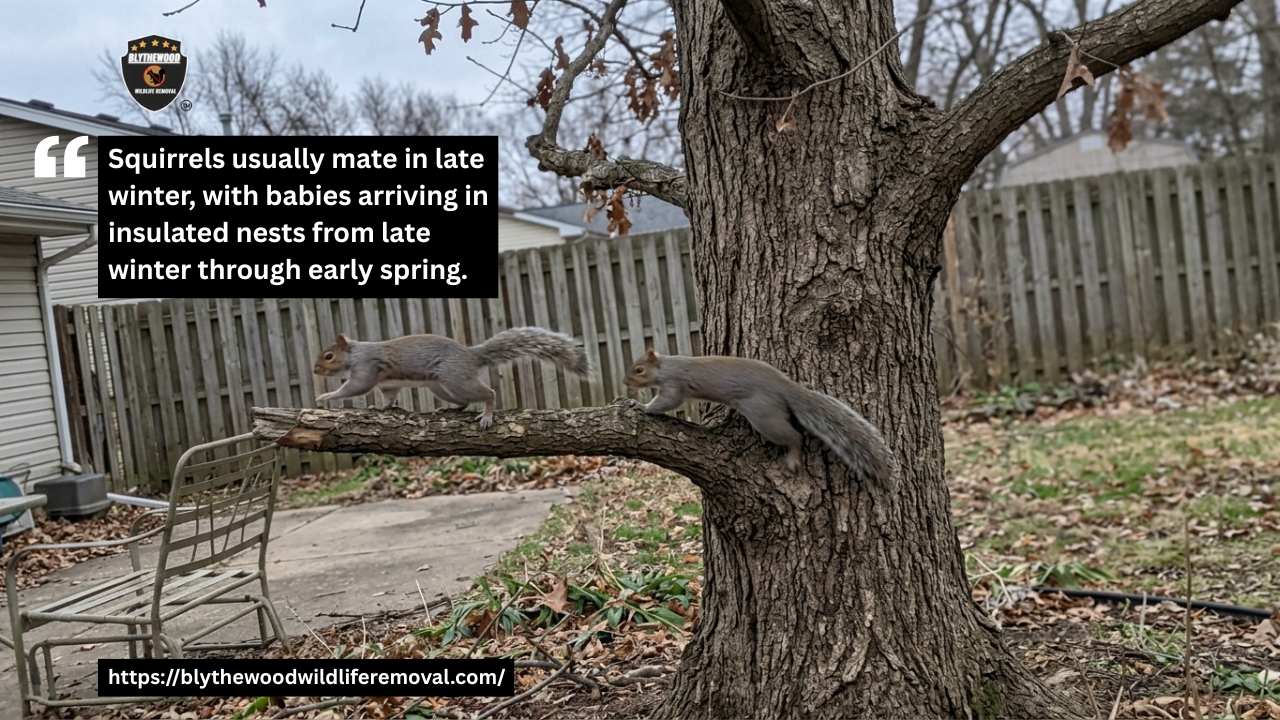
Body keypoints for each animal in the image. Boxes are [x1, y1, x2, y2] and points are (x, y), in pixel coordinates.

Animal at [312, 327, 589, 429]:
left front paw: (325, 396)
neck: (355, 353)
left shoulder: (366, 368)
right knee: (463, 402)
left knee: (488, 393)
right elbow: (389, 397)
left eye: (328, 356)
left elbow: (355, 388)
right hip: (440, 387)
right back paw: (449, 410)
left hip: (456, 379)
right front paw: (381, 408)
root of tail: (471, 355)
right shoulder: (387, 384)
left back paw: (487, 416)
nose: (314, 370)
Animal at [623, 350, 893, 479]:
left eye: (639, 370)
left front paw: (643, 407)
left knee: (795, 437)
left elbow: (668, 401)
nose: (625, 382)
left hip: (764, 416)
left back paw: (793, 458)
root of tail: (785, 386)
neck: (666, 366)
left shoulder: (675, 384)